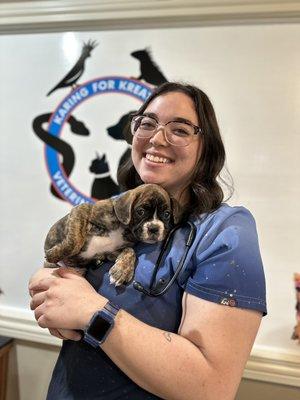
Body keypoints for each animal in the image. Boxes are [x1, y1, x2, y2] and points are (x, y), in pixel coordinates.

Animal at [43, 183, 177, 286]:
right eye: (140, 211)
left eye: (166, 214)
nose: (154, 228)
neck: (123, 227)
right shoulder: (82, 209)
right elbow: (75, 241)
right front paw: (54, 254)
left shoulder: (110, 252)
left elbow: (130, 251)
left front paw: (121, 272)